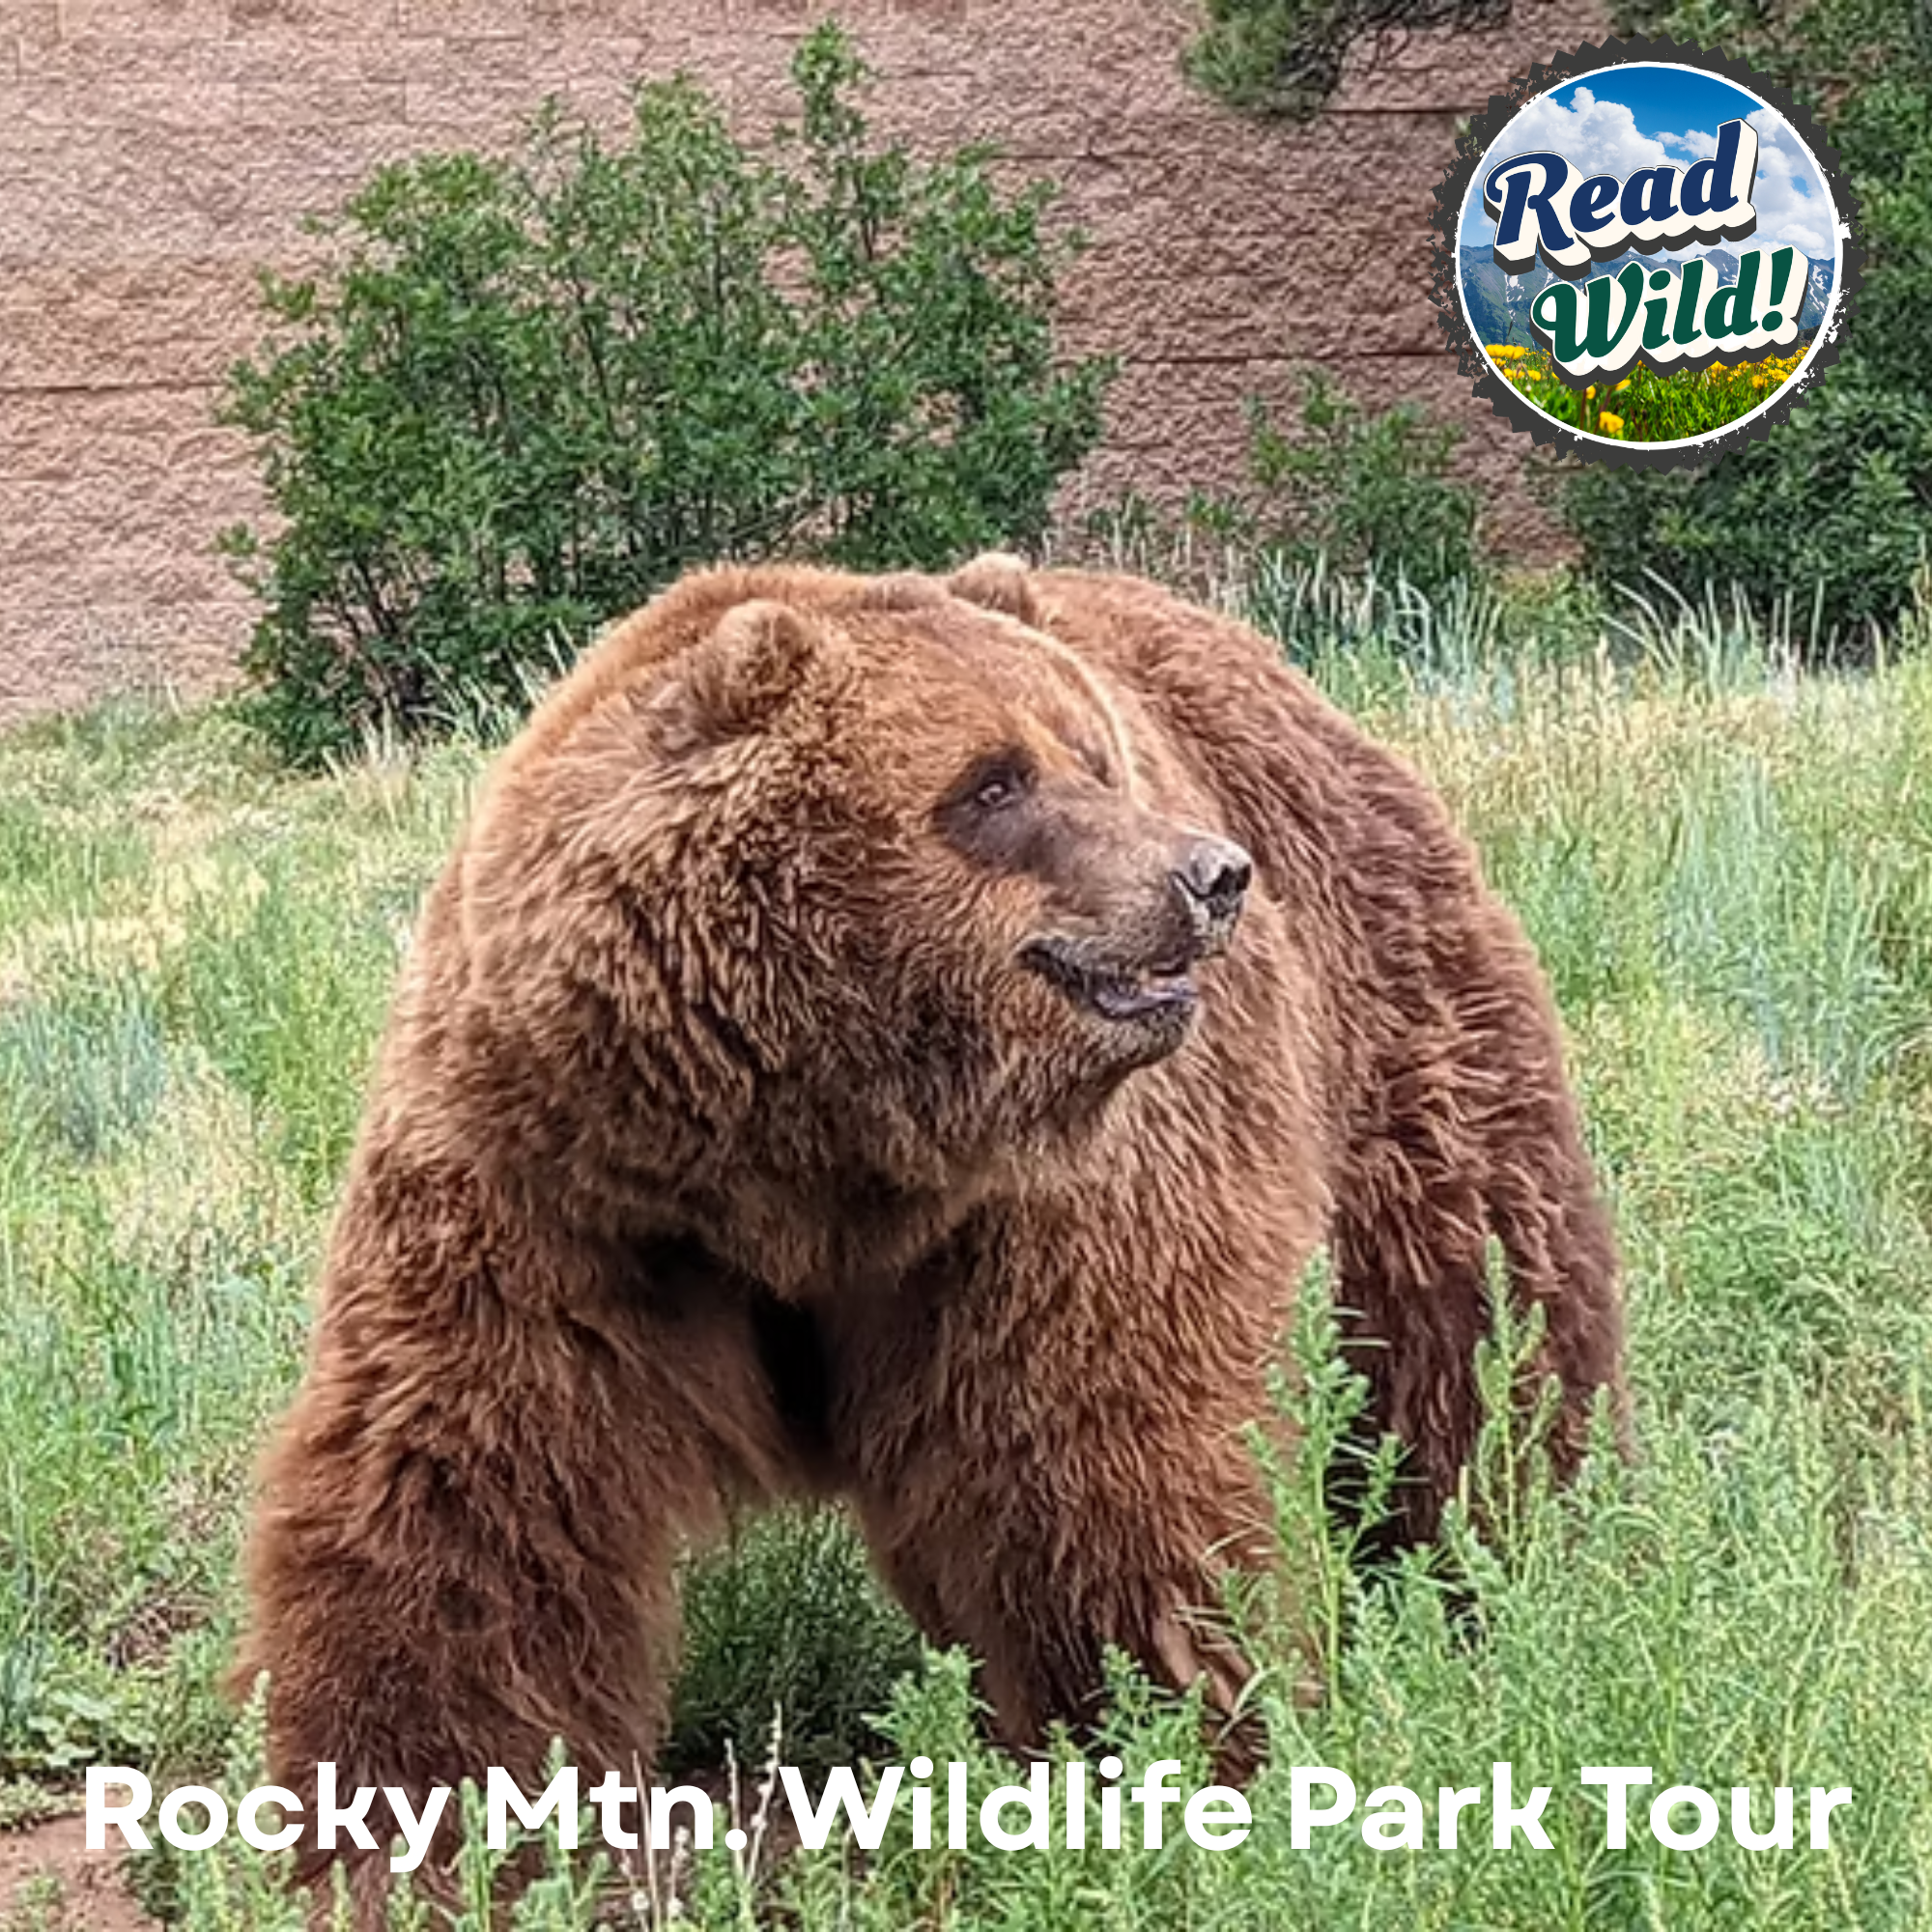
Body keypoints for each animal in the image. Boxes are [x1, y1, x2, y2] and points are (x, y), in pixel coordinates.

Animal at [236, 555, 1623, 1912]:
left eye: (1095, 755)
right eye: (993, 779)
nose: (1211, 876)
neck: (809, 1149)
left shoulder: (1051, 1197)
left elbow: (1101, 1458)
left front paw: (1152, 1762)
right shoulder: (564, 1180)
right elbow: (477, 1480)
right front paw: (411, 1828)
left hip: (1389, 1014)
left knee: (1477, 1327)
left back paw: (1524, 1564)